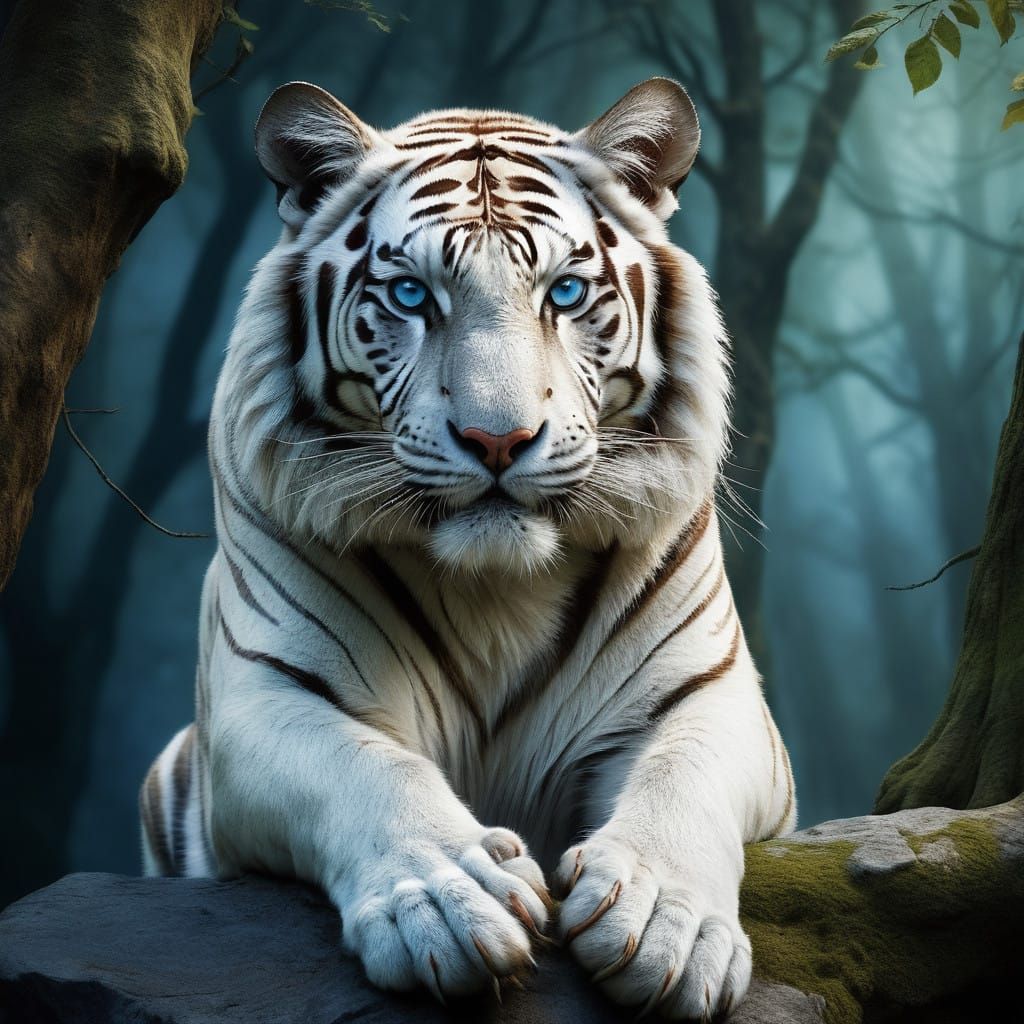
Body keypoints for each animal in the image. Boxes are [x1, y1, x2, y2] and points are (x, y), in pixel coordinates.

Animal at [139, 77, 795, 1019]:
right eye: (413, 297)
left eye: (565, 292)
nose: (498, 439)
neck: (499, 588)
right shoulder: (264, 697)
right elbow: (370, 771)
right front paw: (451, 904)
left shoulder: (711, 693)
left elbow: (682, 780)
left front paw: (665, 926)